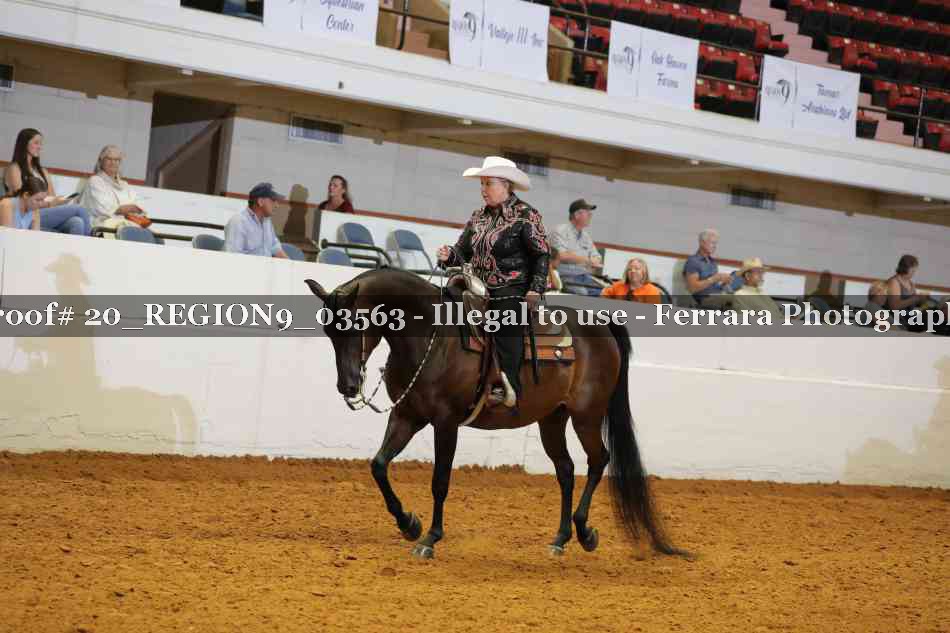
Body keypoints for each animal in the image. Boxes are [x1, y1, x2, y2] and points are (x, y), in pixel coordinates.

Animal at [305, 268, 688, 560]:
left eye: (356, 324)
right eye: (328, 330)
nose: (347, 385)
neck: (431, 335)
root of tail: (601, 323)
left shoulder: (446, 422)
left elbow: (440, 481)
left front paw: (430, 539)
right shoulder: (407, 416)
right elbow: (379, 465)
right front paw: (408, 523)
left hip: (587, 415)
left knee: (598, 460)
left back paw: (585, 532)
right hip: (552, 418)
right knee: (565, 469)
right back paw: (560, 539)